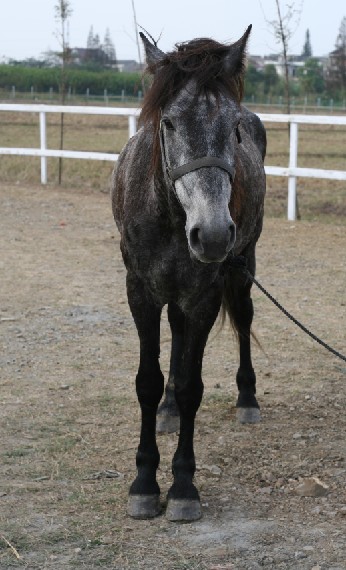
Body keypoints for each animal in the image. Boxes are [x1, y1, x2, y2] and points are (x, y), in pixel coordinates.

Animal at [111, 27, 264, 524]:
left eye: (233, 128)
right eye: (170, 123)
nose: (212, 235)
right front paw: (144, 483)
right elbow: (147, 380)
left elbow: (194, 385)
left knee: (244, 321)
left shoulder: (204, 295)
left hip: (242, 269)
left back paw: (247, 400)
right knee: (175, 340)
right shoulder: (140, 292)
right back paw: (168, 409)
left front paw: (181, 487)